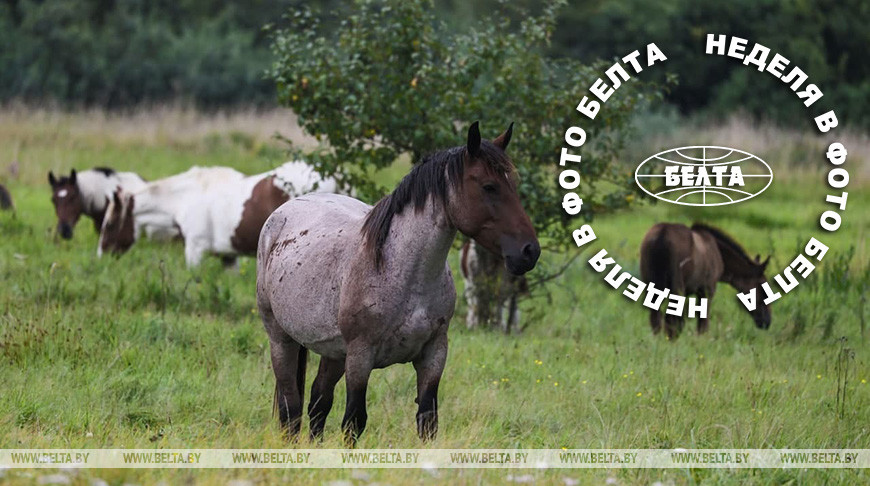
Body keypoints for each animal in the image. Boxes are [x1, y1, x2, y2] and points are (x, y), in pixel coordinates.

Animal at [255, 122, 540, 444]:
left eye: (513, 185)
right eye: (489, 186)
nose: (529, 251)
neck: (404, 272)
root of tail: (283, 211)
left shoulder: (433, 355)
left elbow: (428, 422)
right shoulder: (360, 358)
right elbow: (353, 421)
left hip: (334, 352)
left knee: (318, 401)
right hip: (282, 340)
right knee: (291, 408)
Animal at [636, 221, 772, 338]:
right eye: (763, 288)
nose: (767, 321)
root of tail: (660, 237)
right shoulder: (708, 289)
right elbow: (703, 322)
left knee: (656, 319)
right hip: (677, 287)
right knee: (671, 320)